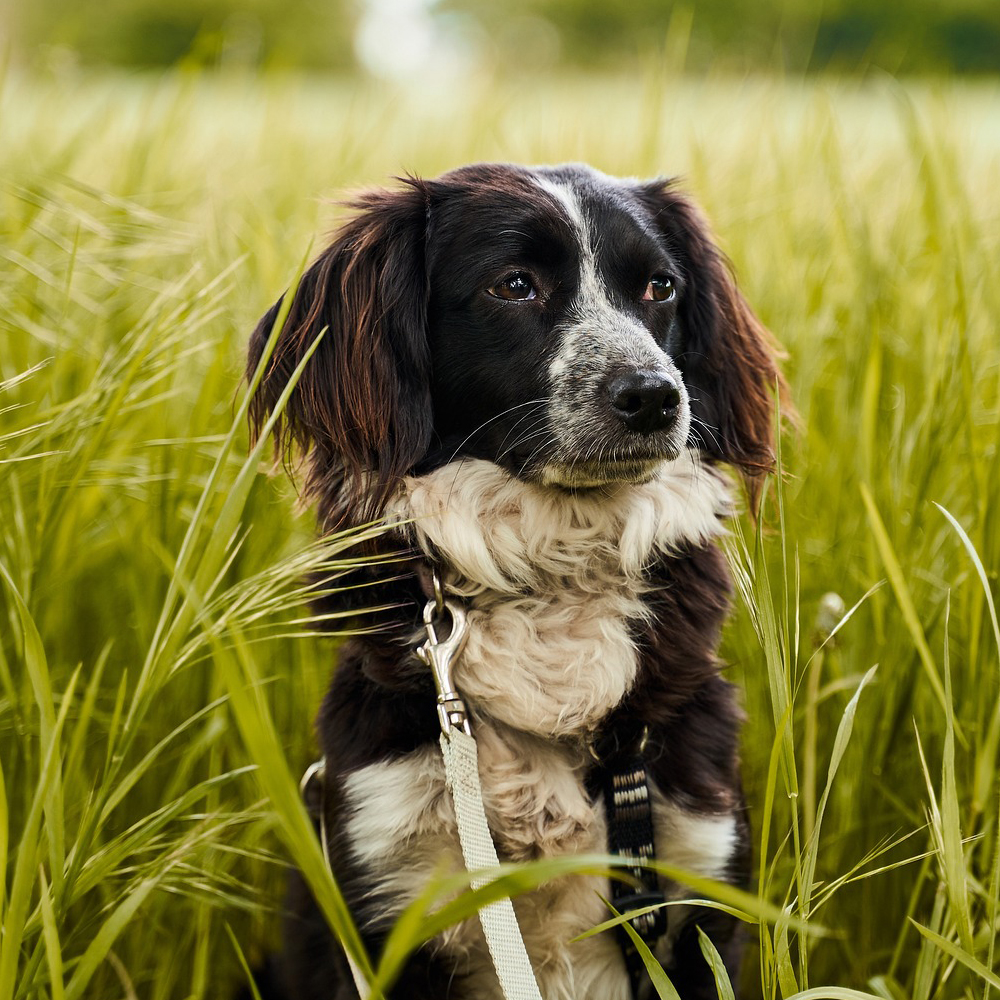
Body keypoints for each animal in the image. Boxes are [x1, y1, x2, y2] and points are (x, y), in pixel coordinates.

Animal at [246, 164, 784, 1000]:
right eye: (515, 285)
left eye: (660, 287)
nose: (656, 396)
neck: (554, 570)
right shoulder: (388, 895)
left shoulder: (697, 884)